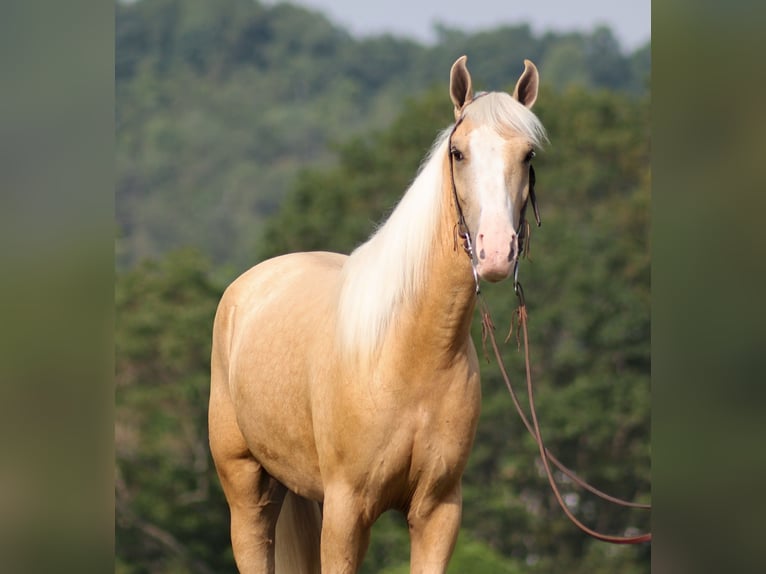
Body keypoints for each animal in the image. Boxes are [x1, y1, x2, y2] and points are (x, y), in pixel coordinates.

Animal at [208, 55, 547, 573]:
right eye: (458, 153)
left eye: (528, 155)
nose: (495, 252)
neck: (409, 354)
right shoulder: (347, 512)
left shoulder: (437, 512)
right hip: (246, 491)